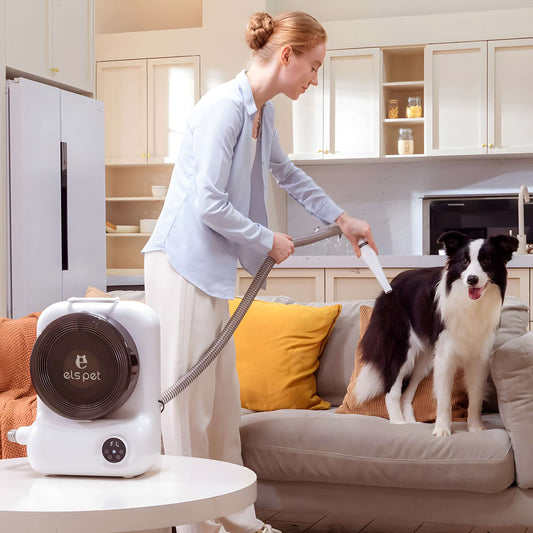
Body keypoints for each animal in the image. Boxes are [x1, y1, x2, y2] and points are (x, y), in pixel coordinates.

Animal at [356, 232, 516, 436]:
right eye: (464, 261)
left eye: (487, 261)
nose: (472, 279)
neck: (470, 304)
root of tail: (391, 285)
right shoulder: (445, 356)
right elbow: (444, 398)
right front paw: (442, 430)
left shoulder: (478, 357)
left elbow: (476, 396)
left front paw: (475, 427)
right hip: (402, 350)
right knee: (392, 391)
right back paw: (398, 424)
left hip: (424, 360)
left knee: (406, 395)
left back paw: (411, 423)